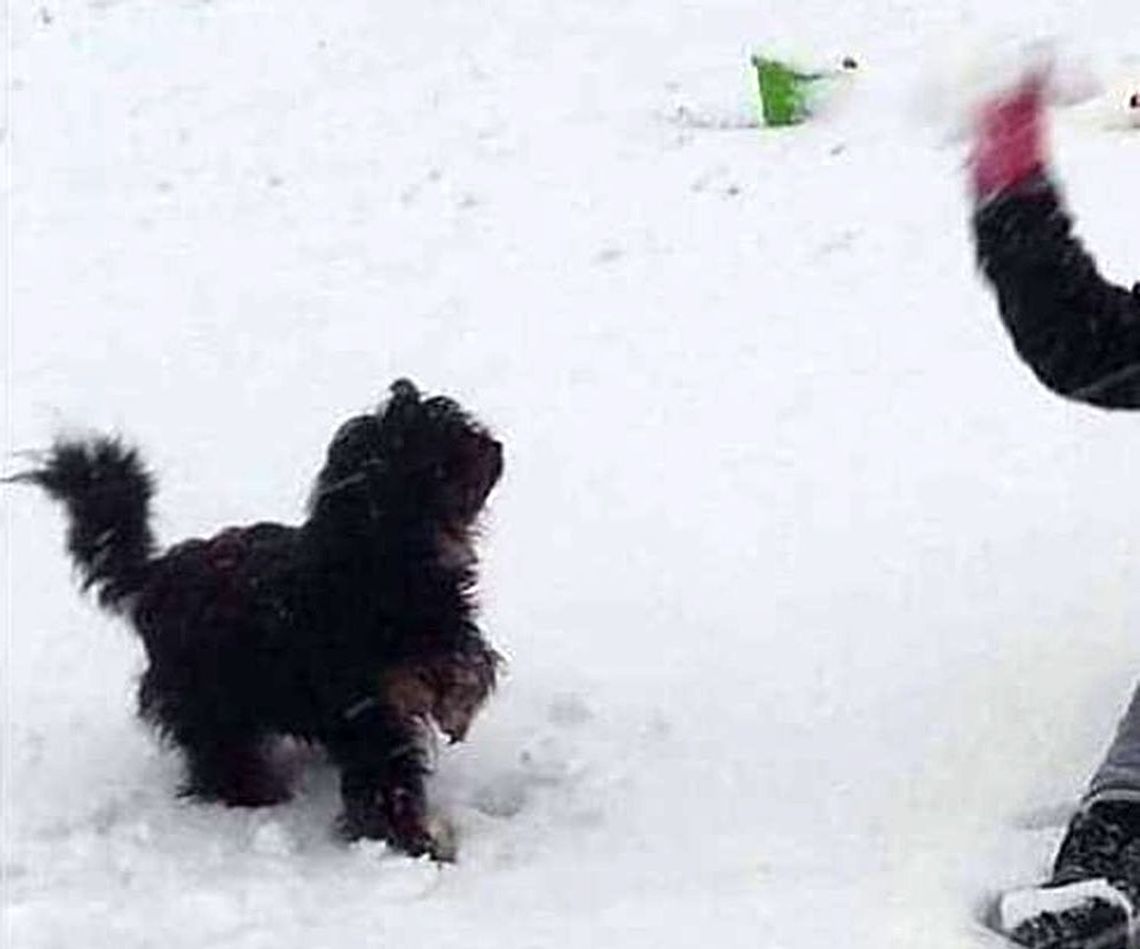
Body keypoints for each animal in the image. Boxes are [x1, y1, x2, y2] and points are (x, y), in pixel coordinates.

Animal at [13, 378, 503, 857]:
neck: (381, 561)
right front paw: (416, 845)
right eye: (443, 450)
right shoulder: (370, 713)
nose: (493, 445)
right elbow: (387, 786)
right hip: (208, 700)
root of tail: (154, 575)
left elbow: (469, 666)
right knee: (223, 756)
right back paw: (255, 795)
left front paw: (455, 712)